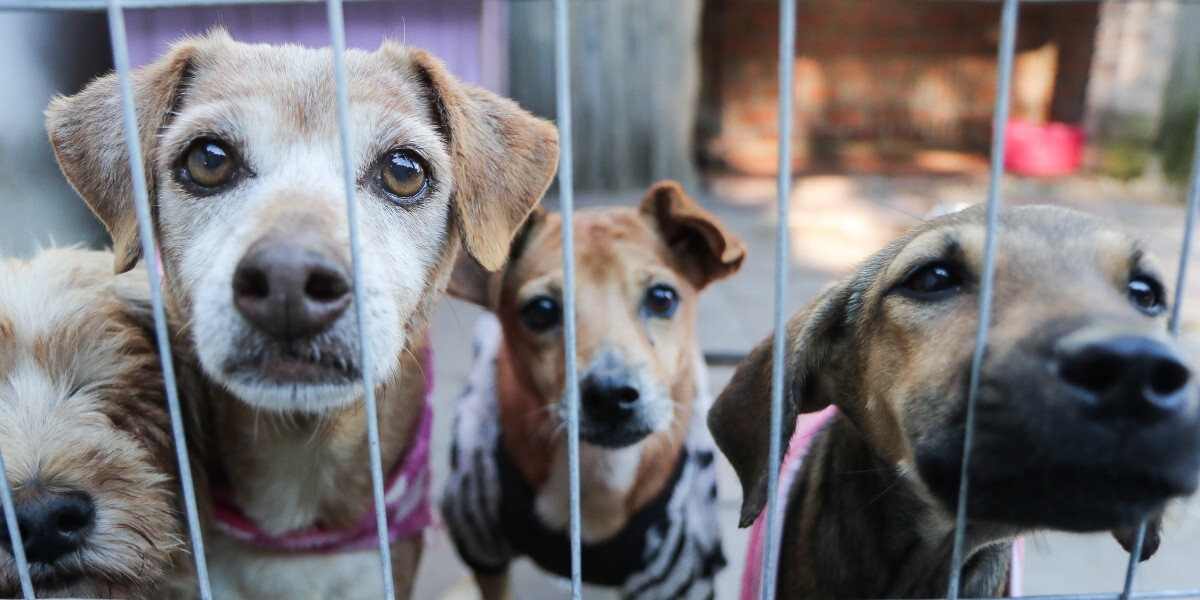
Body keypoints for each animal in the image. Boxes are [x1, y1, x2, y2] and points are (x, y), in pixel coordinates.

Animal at [441, 181, 739, 600]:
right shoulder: (482, 544)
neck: (597, 474)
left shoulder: (678, 577)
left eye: (662, 298)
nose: (612, 395)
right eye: (541, 310)